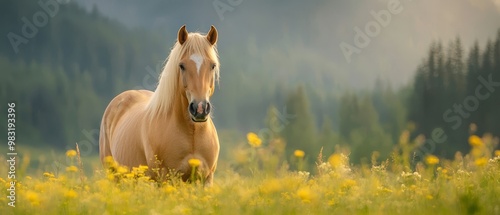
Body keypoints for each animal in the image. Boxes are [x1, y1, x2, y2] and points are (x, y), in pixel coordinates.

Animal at [98, 24, 220, 184]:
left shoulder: (206, 180)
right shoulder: (165, 179)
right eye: (182, 66)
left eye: (212, 65)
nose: (200, 109)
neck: (191, 133)